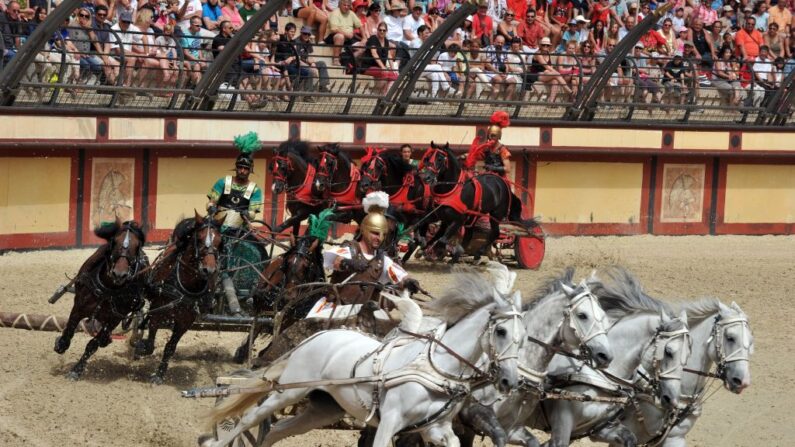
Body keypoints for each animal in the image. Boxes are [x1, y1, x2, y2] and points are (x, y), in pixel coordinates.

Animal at [53, 219, 148, 380]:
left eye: (137, 246)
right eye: (114, 241)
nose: (119, 274)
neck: (108, 289)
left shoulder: (113, 320)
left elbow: (92, 345)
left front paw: (76, 370)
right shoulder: (78, 307)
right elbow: (69, 329)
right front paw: (60, 344)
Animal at [135, 211, 224, 384]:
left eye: (219, 241)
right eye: (200, 239)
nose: (209, 270)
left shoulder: (185, 321)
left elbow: (170, 347)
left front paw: (159, 374)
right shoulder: (157, 310)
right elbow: (150, 342)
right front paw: (140, 347)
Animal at [202, 270, 528, 447]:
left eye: (523, 337)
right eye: (500, 331)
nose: (509, 381)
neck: (436, 370)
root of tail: (319, 335)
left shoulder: (436, 429)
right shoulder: (389, 422)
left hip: (322, 409)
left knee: (276, 431)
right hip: (287, 392)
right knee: (249, 420)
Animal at [532, 268, 692, 446]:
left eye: (688, 355)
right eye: (669, 352)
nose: (672, 400)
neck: (603, 378)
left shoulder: (602, 428)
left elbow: (629, 438)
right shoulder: (562, 423)